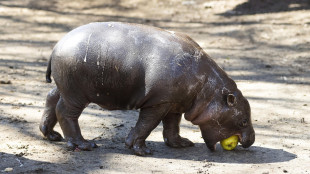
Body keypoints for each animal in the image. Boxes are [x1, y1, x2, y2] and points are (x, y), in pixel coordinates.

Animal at [40, 21, 254, 156]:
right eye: (244, 120)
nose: (251, 140)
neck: (208, 91)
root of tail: (57, 45)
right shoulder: (158, 103)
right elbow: (147, 124)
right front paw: (141, 150)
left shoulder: (175, 103)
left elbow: (172, 125)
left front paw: (182, 144)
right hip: (76, 94)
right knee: (65, 112)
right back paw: (85, 145)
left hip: (65, 87)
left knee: (51, 98)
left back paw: (52, 135)